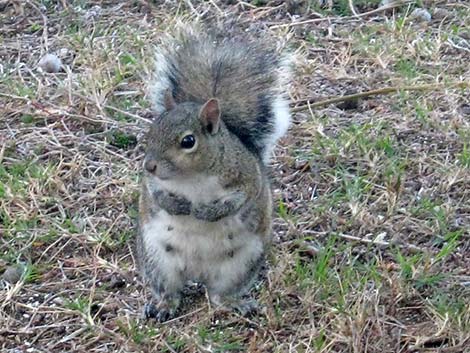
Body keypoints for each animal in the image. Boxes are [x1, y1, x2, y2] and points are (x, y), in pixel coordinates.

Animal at [135, 26, 290, 320]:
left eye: (188, 141)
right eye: (152, 130)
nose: (149, 165)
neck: (192, 178)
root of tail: (198, 272)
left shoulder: (246, 178)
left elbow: (238, 200)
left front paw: (205, 212)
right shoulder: (152, 184)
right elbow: (155, 195)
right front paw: (177, 205)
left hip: (240, 265)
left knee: (219, 295)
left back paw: (234, 303)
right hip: (158, 261)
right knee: (169, 291)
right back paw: (163, 306)